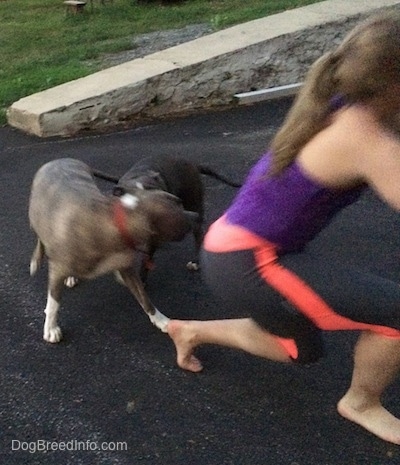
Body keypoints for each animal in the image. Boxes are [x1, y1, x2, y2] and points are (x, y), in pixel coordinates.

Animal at [28, 158, 198, 342]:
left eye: (179, 201)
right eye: (179, 209)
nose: (197, 216)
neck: (117, 220)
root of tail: (62, 159)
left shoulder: (127, 268)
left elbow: (144, 298)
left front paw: (161, 320)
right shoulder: (57, 270)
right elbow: (53, 303)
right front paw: (51, 328)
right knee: (40, 238)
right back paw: (36, 261)